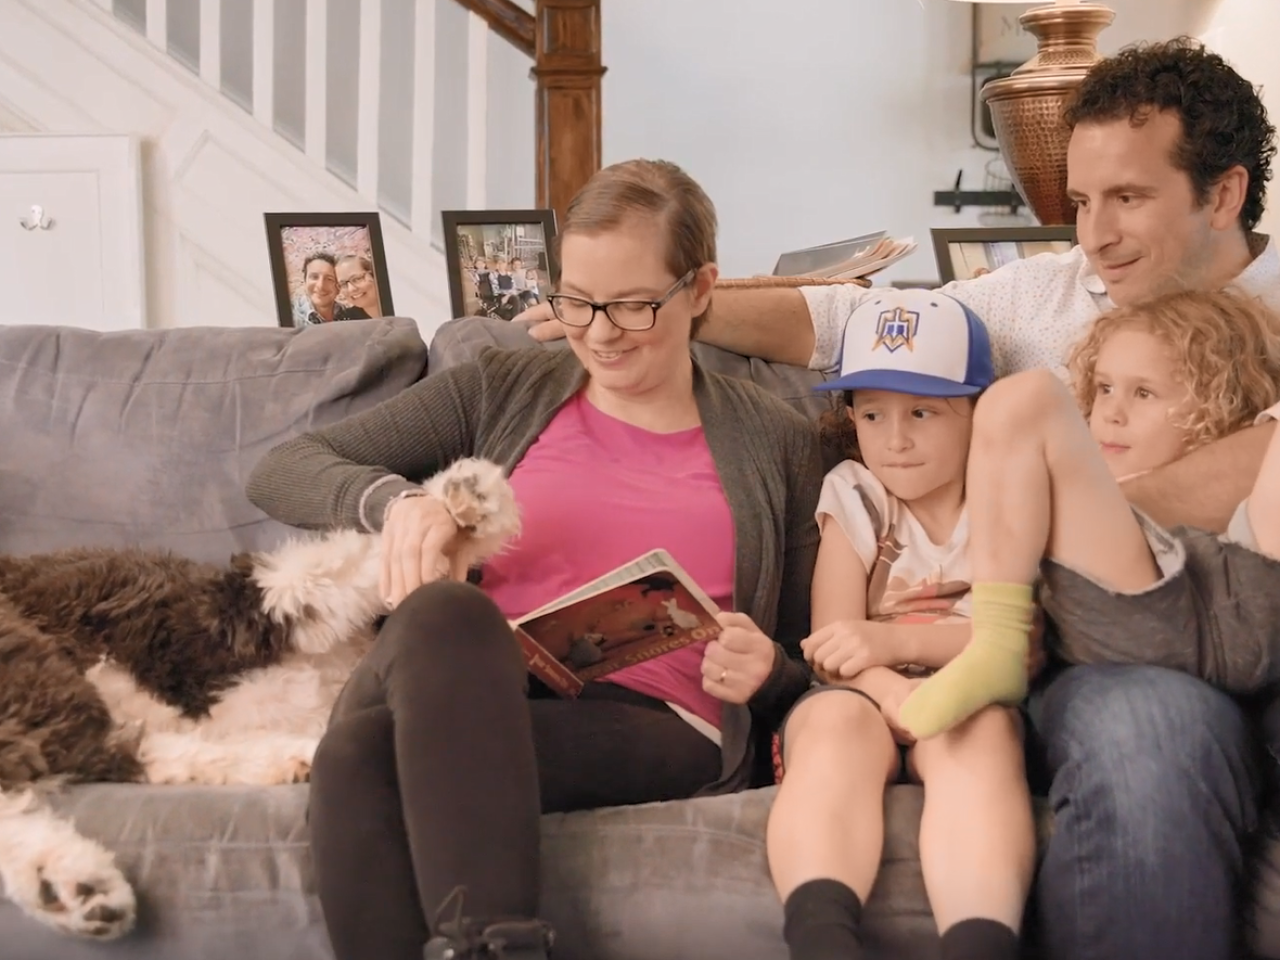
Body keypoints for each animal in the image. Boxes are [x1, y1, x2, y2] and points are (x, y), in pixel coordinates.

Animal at [1, 455, 519, 942]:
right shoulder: (223, 615)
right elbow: (318, 575)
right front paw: (468, 495)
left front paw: (468, 511)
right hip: (32, 661)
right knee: (100, 748)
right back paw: (71, 882)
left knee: (120, 750)